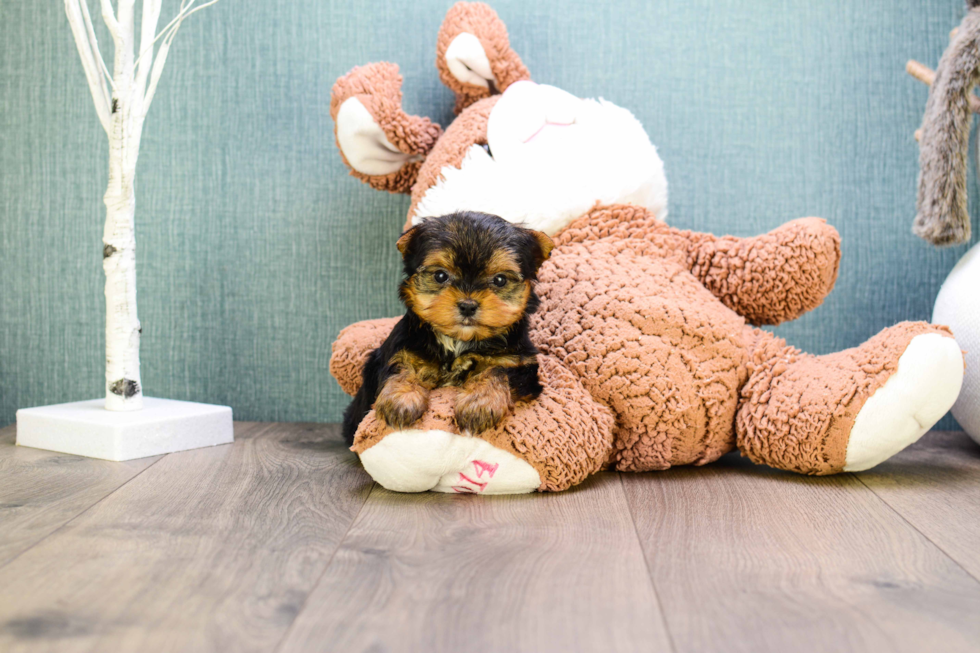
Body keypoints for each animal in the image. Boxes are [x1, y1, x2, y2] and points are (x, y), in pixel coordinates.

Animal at [340, 211, 552, 446]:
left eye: (500, 280)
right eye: (440, 276)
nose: (468, 305)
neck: (459, 341)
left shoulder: (518, 364)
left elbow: (497, 370)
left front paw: (479, 403)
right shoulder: (403, 349)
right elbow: (403, 367)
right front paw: (401, 400)